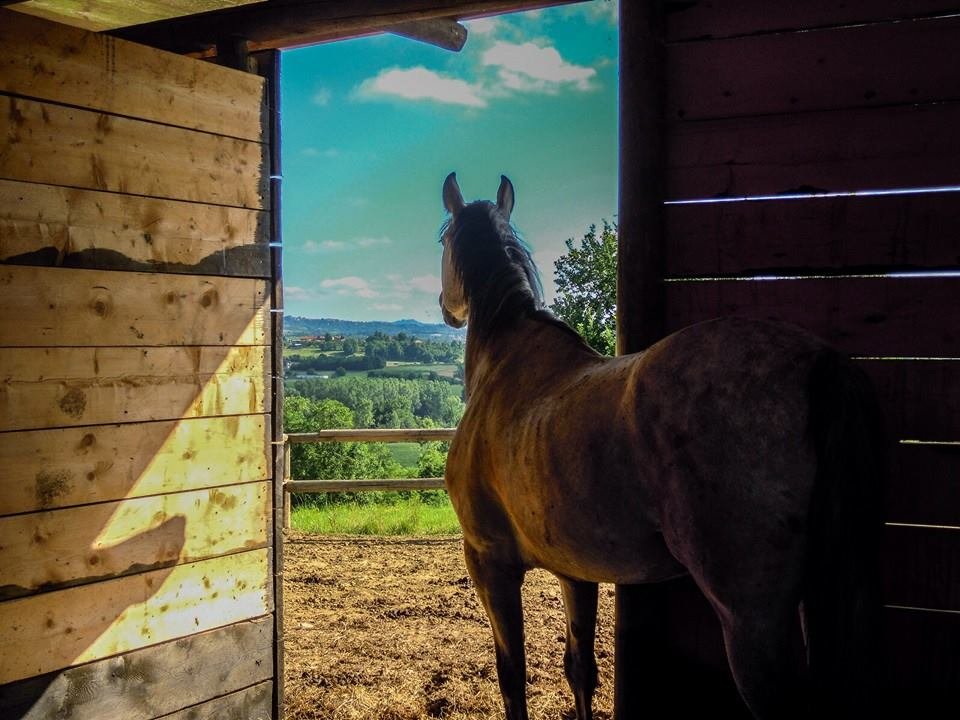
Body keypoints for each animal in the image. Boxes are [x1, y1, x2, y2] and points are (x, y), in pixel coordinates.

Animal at [436, 174, 884, 720]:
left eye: (442, 240)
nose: (444, 307)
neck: (507, 362)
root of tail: (822, 364)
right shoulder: (575, 571)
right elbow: (580, 669)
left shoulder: (491, 563)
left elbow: (512, 676)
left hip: (752, 622)